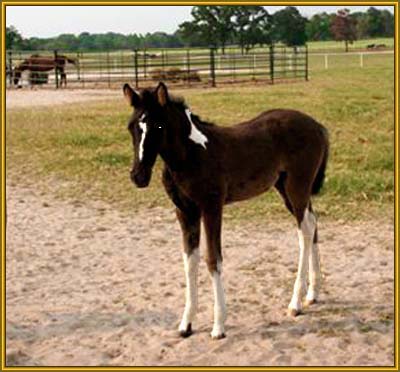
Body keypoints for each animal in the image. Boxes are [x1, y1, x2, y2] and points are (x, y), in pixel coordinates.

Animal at [123, 83, 330, 338]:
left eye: (159, 126)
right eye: (131, 126)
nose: (138, 176)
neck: (192, 155)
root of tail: (317, 126)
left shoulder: (212, 208)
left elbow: (213, 259)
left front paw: (219, 326)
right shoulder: (185, 212)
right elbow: (189, 262)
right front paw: (186, 324)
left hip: (297, 187)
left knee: (305, 232)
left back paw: (295, 303)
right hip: (286, 189)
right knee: (313, 223)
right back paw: (312, 293)